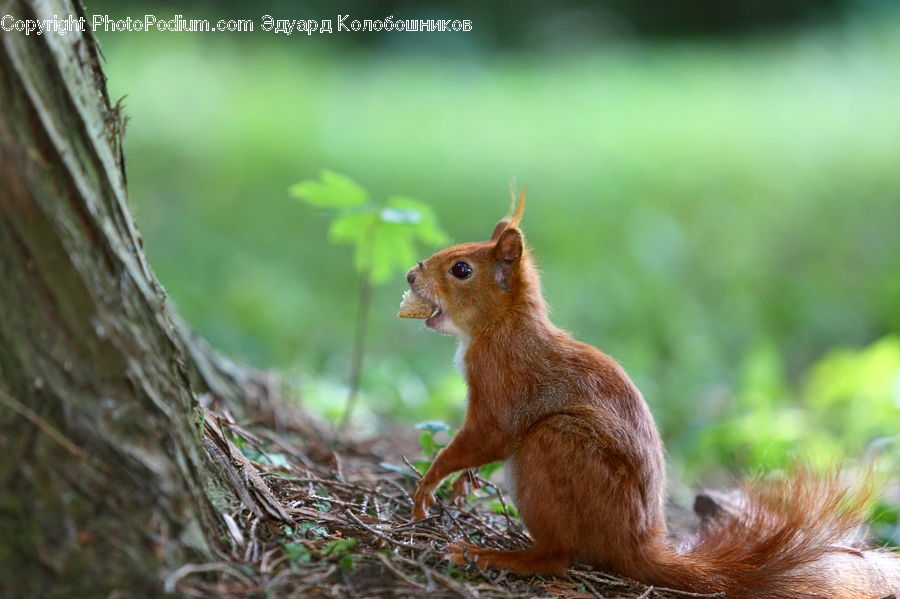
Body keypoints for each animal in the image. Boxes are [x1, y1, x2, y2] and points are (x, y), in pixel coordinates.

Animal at [401, 190, 900, 598]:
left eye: (461, 270)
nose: (409, 275)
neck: (502, 326)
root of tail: (632, 546)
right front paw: (461, 485)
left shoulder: (501, 382)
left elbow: (488, 436)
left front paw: (430, 482)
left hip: (554, 446)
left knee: (558, 556)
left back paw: (496, 556)